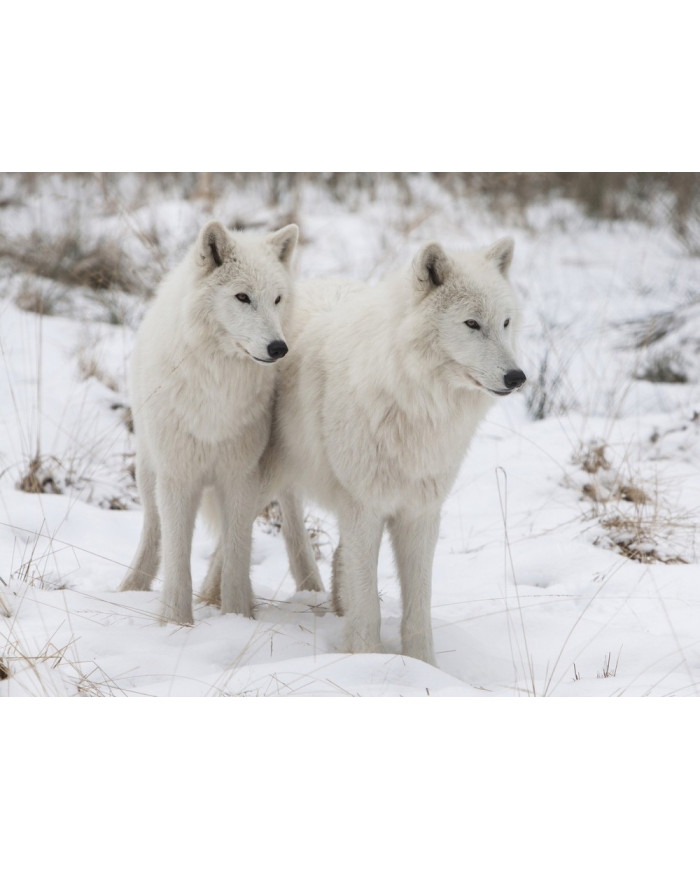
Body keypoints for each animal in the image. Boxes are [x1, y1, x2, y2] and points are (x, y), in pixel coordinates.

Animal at [119, 220, 316, 625]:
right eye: (242, 297)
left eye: (277, 299)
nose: (278, 348)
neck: (218, 392)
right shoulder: (178, 477)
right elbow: (178, 555)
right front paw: (175, 622)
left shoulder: (240, 476)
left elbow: (238, 553)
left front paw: (237, 615)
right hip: (148, 470)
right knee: (153, 531)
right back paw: (132, 587)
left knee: (289, 518)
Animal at [262, 237, 526, 666]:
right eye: (472, 324)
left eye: (505, 323)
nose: (517, 377)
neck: (414, 402)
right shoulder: (364, 509)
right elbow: (368, 602)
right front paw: (368, 658)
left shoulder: (420, 514)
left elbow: (417, 608)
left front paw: (424, 667)